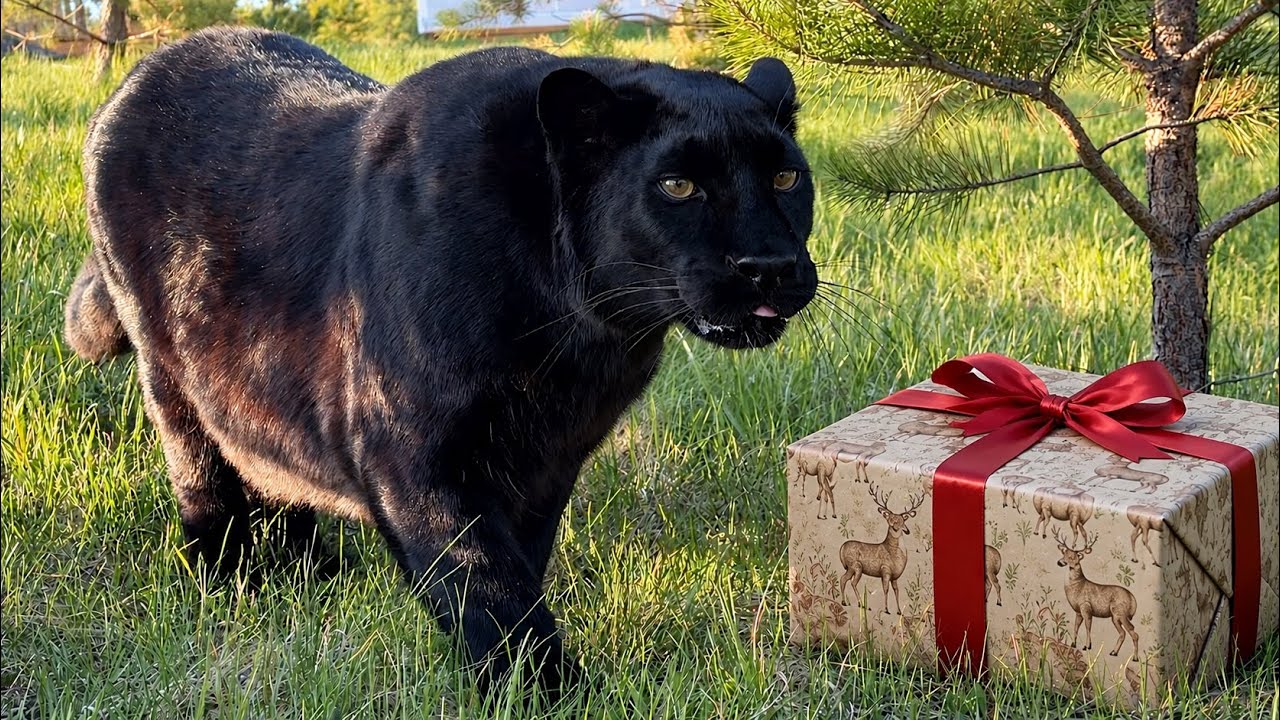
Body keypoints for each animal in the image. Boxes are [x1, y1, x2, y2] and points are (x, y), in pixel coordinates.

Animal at [838, 484, 925, 615]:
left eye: (902, 520)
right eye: (890, 519)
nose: (906, 530)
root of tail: (842, 547)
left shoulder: (895, 576)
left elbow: (896, 590)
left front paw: (899, 611)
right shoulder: (885, 569)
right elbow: (886, 589)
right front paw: (886, 609)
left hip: (851, 567)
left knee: (845, 579)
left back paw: (848, 602)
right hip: (855, 565)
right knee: (849, 581)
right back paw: (857, 603)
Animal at [1054, 529, 1139, 658]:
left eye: (1072, 557)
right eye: (1064, 554)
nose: (1059, 562)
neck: (1077, 587)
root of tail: (1133, 599)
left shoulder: (1086, 606)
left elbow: (1088, 627)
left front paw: (1087, 646)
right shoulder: (1078, 611)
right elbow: (1076, 627)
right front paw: (1073, 644)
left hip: (1120, 612)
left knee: (1132, 631)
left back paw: (1134, 658)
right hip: (1115, 616)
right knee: (1123, 633)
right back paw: (1114, 652)